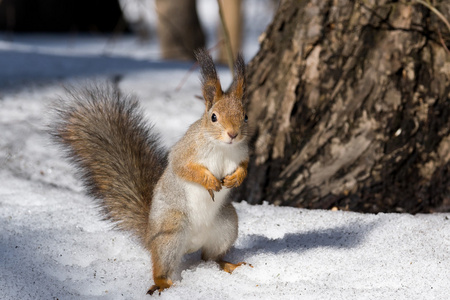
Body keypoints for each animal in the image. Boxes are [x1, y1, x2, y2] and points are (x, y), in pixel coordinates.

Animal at [51, 49, 253, 296]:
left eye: (245, 116)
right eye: (213, 116)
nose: (233, 134)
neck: (223, 148)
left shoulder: (242, 153)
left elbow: (244, 167)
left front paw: (236, 178)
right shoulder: (184, 152)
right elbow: (183, 168)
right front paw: (209, 181)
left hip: (226, 227)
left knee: (209, 258)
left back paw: (229, 265)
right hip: (171, 231)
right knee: (162, 266)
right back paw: (163, 284)